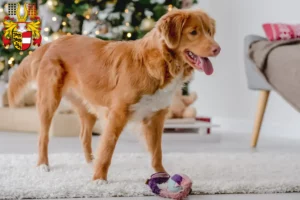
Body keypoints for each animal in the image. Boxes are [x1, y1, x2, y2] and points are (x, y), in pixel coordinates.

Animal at [7, 8, 220, 182]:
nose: (217, 49)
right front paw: (99, 179)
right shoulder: (118, 113)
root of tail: (55, 41)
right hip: (49, 101)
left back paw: (89, 162)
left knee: (84, 135)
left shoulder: (156, 117)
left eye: (209, 32)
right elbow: (108, 148)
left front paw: (162, 175)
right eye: (193, 32)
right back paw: (43, 164)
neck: (157, 64)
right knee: (43, 136)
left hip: (88, 107)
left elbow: (156, 152)